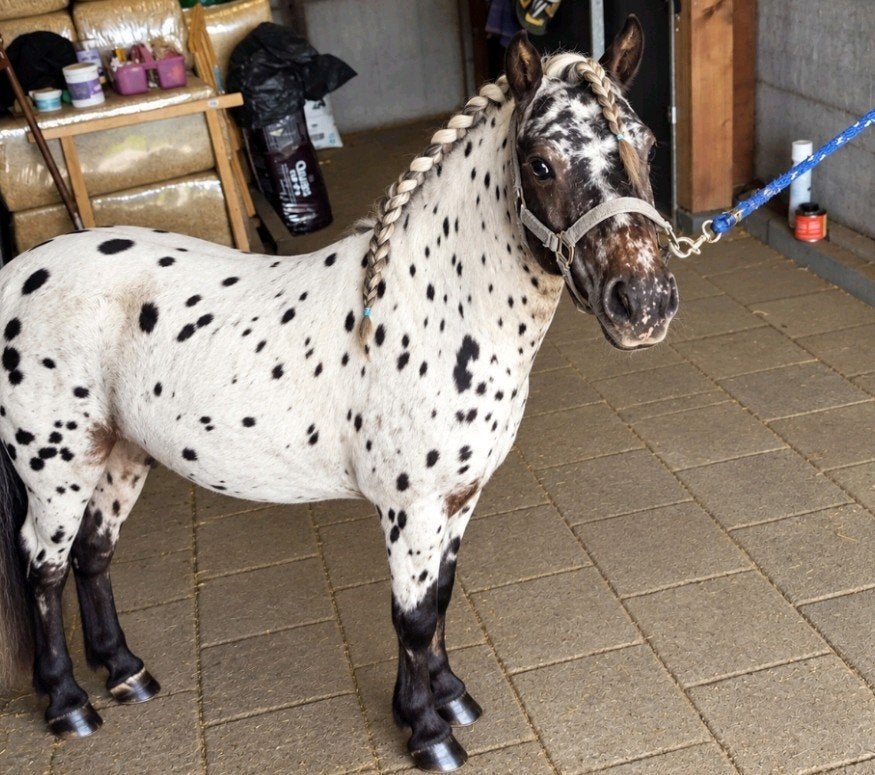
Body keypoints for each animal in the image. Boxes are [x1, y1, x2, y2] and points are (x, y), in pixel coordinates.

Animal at [0, 18, 678, 772]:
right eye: (538, 163)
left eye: (646, 143)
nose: (643, 302)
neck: (432, 307)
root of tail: (18, 273)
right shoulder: (411, 509)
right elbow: (412, 616)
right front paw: (428, 731)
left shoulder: (458, 499)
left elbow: (440, 599)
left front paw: (449, 696)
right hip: (55, 468)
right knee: (43, 568)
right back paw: (67, 704)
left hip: (118, 454)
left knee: (92, 554)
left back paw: (124, 671)